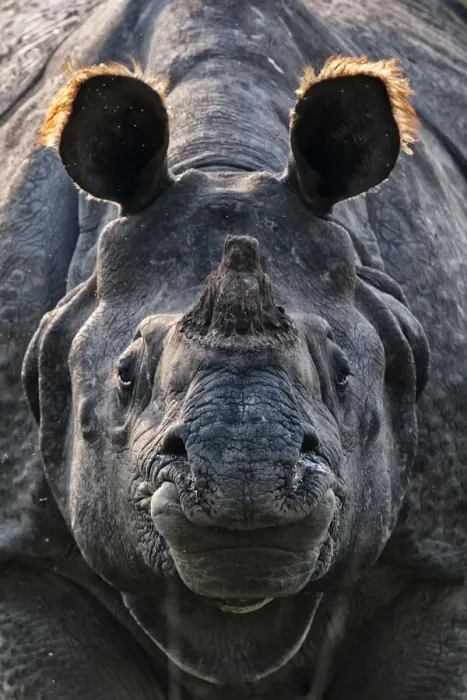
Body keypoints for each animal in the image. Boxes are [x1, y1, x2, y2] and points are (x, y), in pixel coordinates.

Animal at [1, 0, 467, 697]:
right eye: (124, 376)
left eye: (343, 373)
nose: (242, 476)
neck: (223, 163)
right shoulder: (18, 547)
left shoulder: (444, 548)